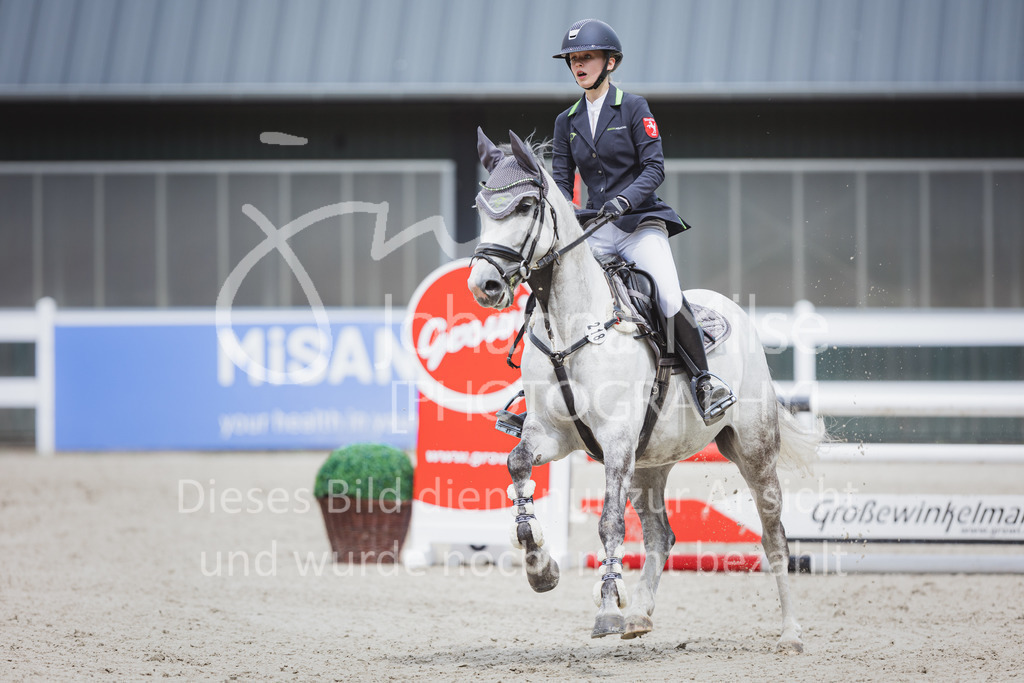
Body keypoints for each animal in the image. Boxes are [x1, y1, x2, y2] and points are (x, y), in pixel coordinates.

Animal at [467, 129, 823, 653]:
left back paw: (791, 634)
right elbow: (517, 465)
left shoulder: (616, 440)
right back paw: (638, 614)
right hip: (649, 462)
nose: (485, 284)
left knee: (773, 534)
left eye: (527, 204)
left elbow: (609, 523)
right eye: (480, 205)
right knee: (660, 534)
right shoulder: (552, 434)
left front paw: (605, 612)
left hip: (752, 449)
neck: (570, 325)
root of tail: (736, 312)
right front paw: (540, 568)